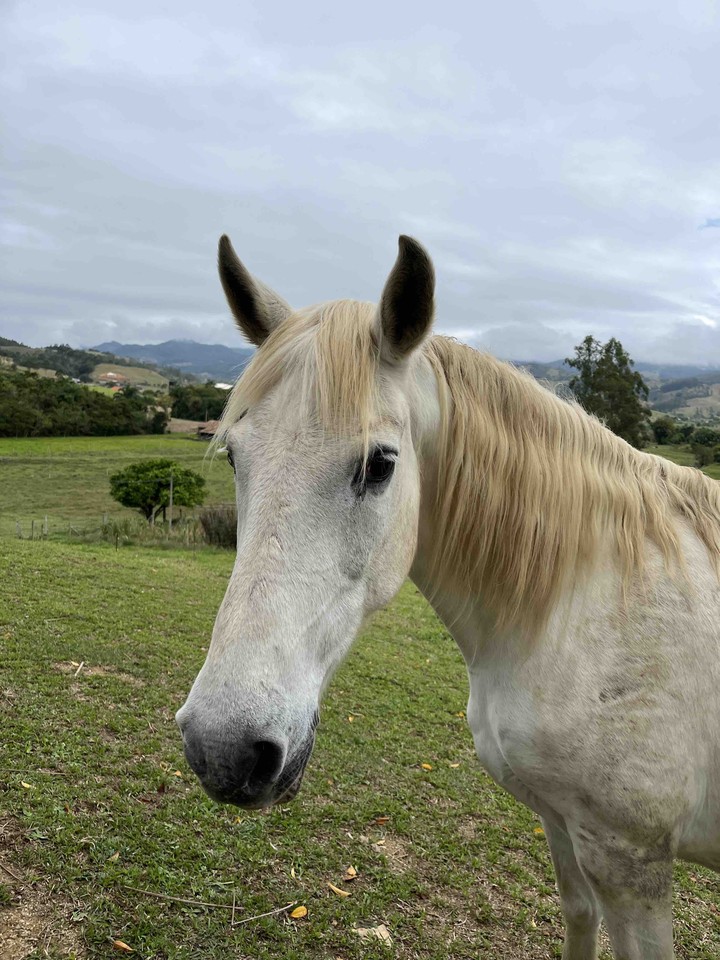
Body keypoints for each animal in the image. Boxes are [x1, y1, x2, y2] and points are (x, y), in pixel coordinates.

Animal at [176, 234, 720, 960]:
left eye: (380, 464)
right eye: (236, 456)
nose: (224, 749)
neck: (590, 609)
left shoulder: (631, 863)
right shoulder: (561, 823)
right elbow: (579, 916)